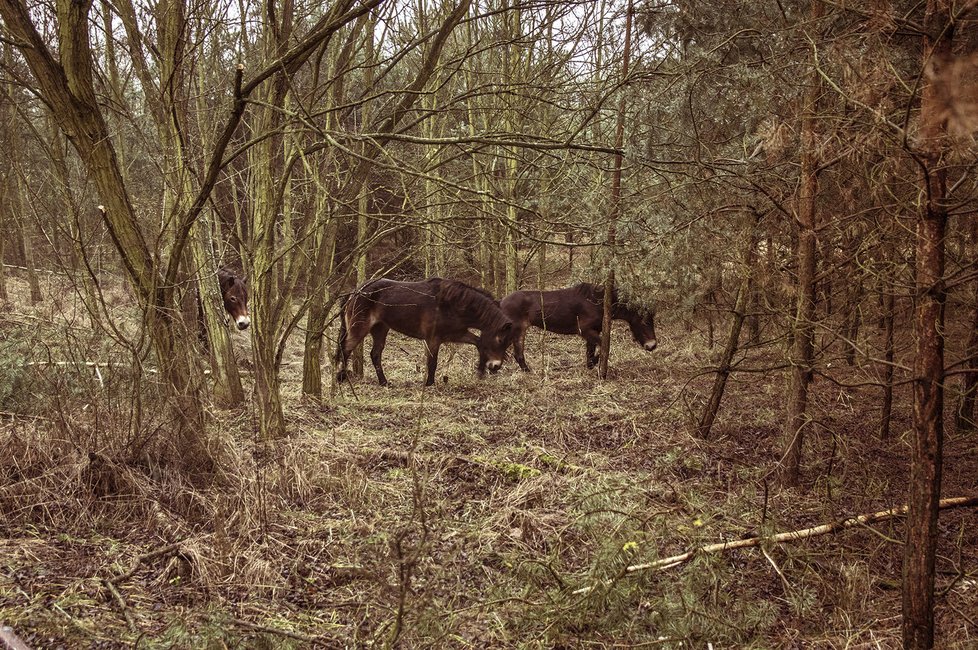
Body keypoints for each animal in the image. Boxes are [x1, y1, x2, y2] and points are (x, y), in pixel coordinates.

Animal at [336, 274, 516, 384]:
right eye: (500, 339)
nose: (496, 366)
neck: (451, 303)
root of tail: (354, 292)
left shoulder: (456, 333)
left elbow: (479, 342)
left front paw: (480, 370)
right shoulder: (433, 339)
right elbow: (432, 363)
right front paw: (429, 383)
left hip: (380, 329)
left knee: (375, 354)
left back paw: (384, 382)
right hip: (359, 328)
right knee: (345, 349)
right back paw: (340, 377)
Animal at [500, 282, 652, 372]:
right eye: (644, 321)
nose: (653, 345)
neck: (599, 303)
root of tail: (501, 301)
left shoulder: (594, 331)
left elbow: (591, 350)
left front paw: (590, 365)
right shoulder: (584, 329)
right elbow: (605, 345)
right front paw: (594, 362)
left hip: (519, 332)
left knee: (518, 354)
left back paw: (527, 370)